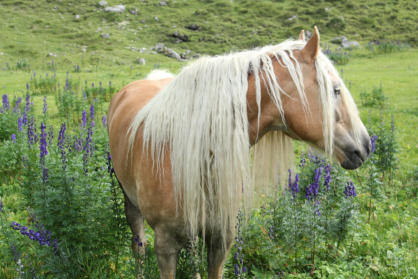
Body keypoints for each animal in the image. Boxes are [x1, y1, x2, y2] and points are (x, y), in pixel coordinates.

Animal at [107, 26, 370, 279]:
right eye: (336, 90)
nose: (366, 145)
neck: (198, 157)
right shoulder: (166, 247)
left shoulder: (221, 241)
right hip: (131, 204)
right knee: (139, 248)